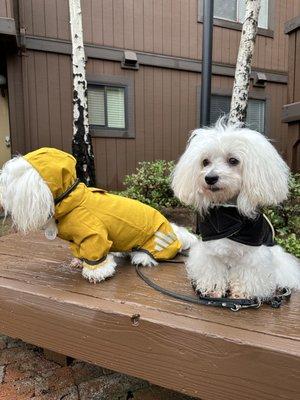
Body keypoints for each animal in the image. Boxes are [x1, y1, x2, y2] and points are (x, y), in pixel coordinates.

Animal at [0, 147, 197, 282]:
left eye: (8, 181)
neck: (71, 200)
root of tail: (174, 232)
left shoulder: (93, 235)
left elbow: (96, 255)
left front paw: (96, 273)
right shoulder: (77, 240)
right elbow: (80, 252)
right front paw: (79, 261)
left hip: (155, 242)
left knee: (149, 255)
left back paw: (141, 258)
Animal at [172, 120, 298, 298]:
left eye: (233, 160)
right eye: (205, 162)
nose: (210, 178)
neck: (227, 215)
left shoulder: (253, 255)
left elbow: (247, 275)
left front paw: (242, 293)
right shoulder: (210, 252)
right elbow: (213, 271)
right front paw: (213, 289)